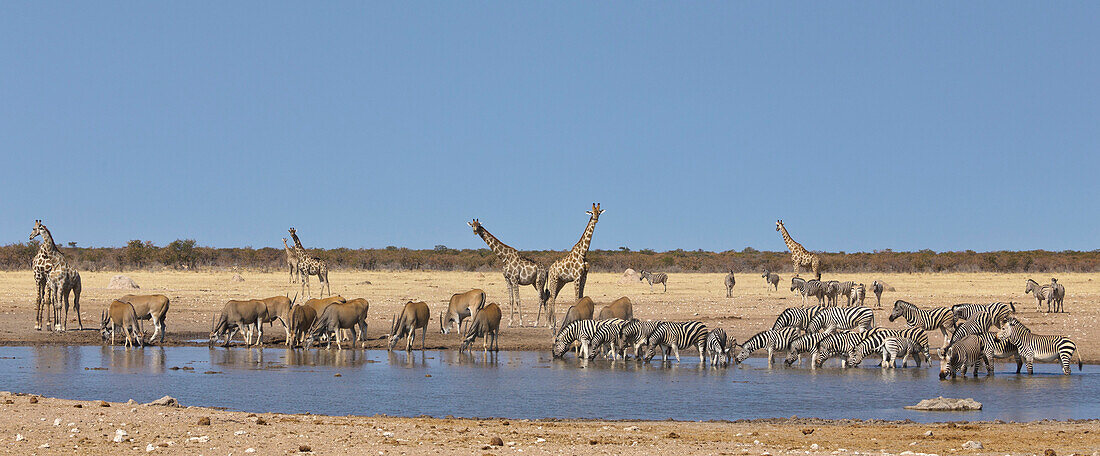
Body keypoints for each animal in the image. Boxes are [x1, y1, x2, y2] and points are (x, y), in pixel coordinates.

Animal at [545, 203, 607, 331]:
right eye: (592, 212)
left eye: (599, 212)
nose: (596, 219)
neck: (583, 253)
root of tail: (550, 268)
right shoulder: (577, 277)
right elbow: (576, 298)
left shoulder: (584, 276)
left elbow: (581, 296)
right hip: (554, 280)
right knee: (551, 298)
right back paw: (550, 324)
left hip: (561, 282)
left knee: (552, 297)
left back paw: (549, 322)